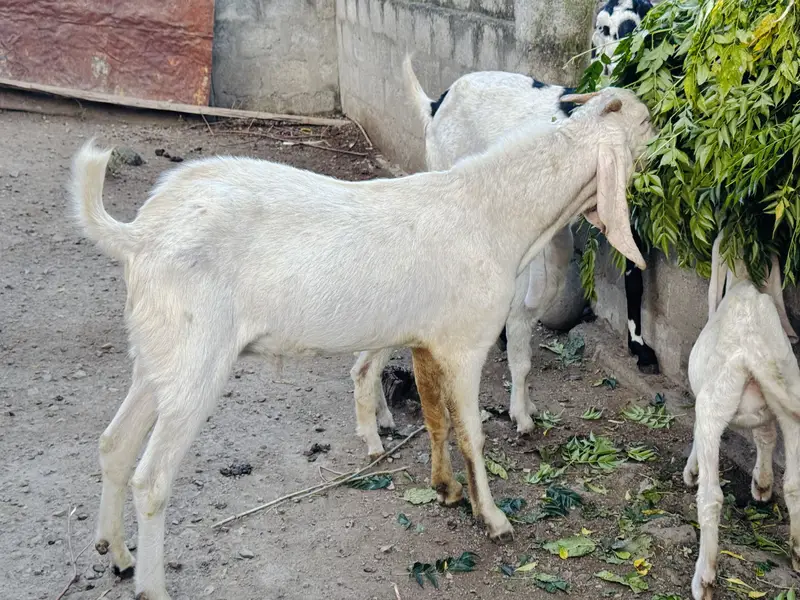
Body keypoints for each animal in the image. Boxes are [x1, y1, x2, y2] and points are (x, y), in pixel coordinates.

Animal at [71, 86, 653, 600]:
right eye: (646, 123)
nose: (668, 138)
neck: (495, 214)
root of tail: (139, 235)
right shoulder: (464, 343)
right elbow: (473, 435)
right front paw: (492, 517)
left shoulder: (425, 339)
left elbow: (437, 420)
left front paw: (445, 490)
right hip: (196, 361)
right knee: (152, 479)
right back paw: (151, 585)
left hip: (160, 354)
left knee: (114, 443)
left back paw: (115, 554)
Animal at [683, 233, 800, 600]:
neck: (746, 278)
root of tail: (754, 349)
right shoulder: (772, 409)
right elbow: (765, 436)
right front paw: (761, 484)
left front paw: (691, 469)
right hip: (790, 396)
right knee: (794, 484)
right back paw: (798, 552)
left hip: (713, 404)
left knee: (711, 498)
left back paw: (704, 578)